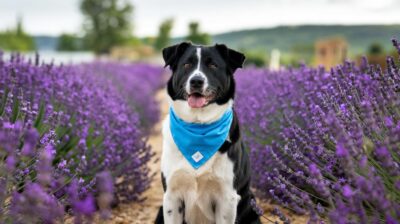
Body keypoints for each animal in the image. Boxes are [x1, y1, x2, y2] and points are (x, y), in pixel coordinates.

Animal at [155, 42, 260, 224]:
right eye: (187, 64)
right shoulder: (172, 196)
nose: (196, 81)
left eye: (213, 65)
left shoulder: (227, 198)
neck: (198, 126)